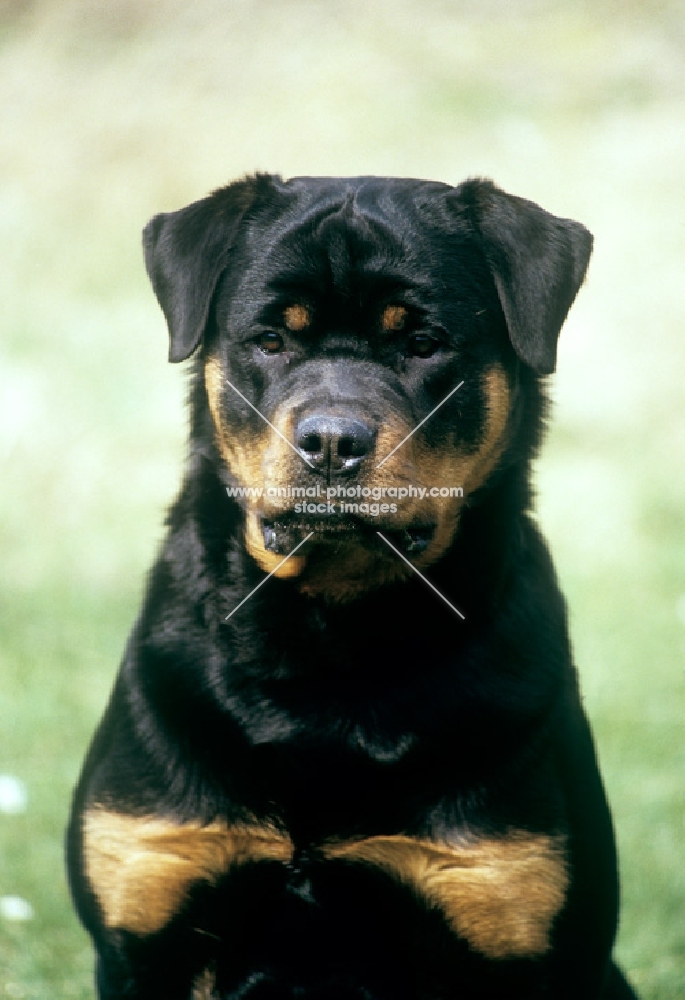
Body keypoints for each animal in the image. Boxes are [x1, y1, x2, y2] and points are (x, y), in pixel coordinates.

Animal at [68, 174, 636, 1000]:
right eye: (271, 339)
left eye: (422, 343)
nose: (332, 441)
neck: (329, 644)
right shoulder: (150, 916)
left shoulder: (515, 919)